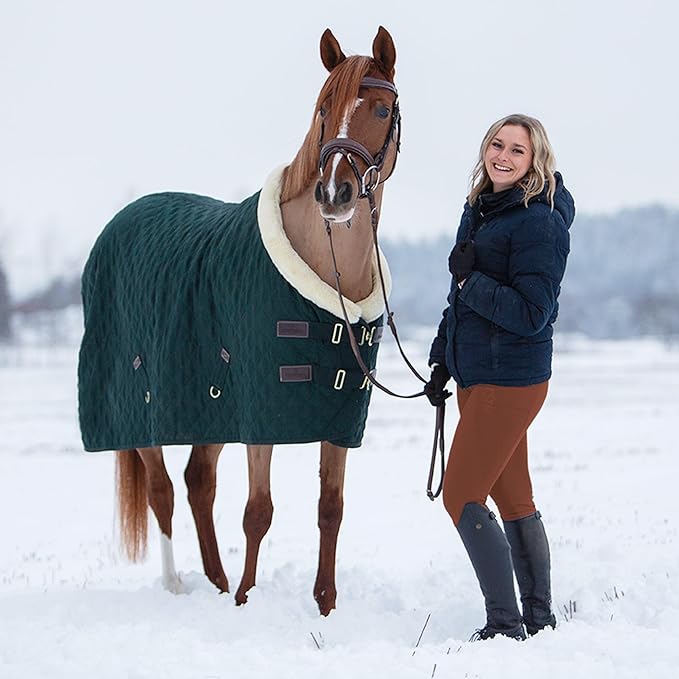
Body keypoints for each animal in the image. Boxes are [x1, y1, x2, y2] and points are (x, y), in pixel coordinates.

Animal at [77, 26, 401, 616]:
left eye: (383, 109)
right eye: (323, 109)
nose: (335, 193)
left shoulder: (339, 418)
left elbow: (331, 508)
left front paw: (324, 605)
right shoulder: (258, 416)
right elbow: (258, 511)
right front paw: (249, 600)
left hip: (208, 411)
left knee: (198, 481)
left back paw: (216, 580)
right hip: (143, 410)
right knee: (162, 490)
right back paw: (178, 585)